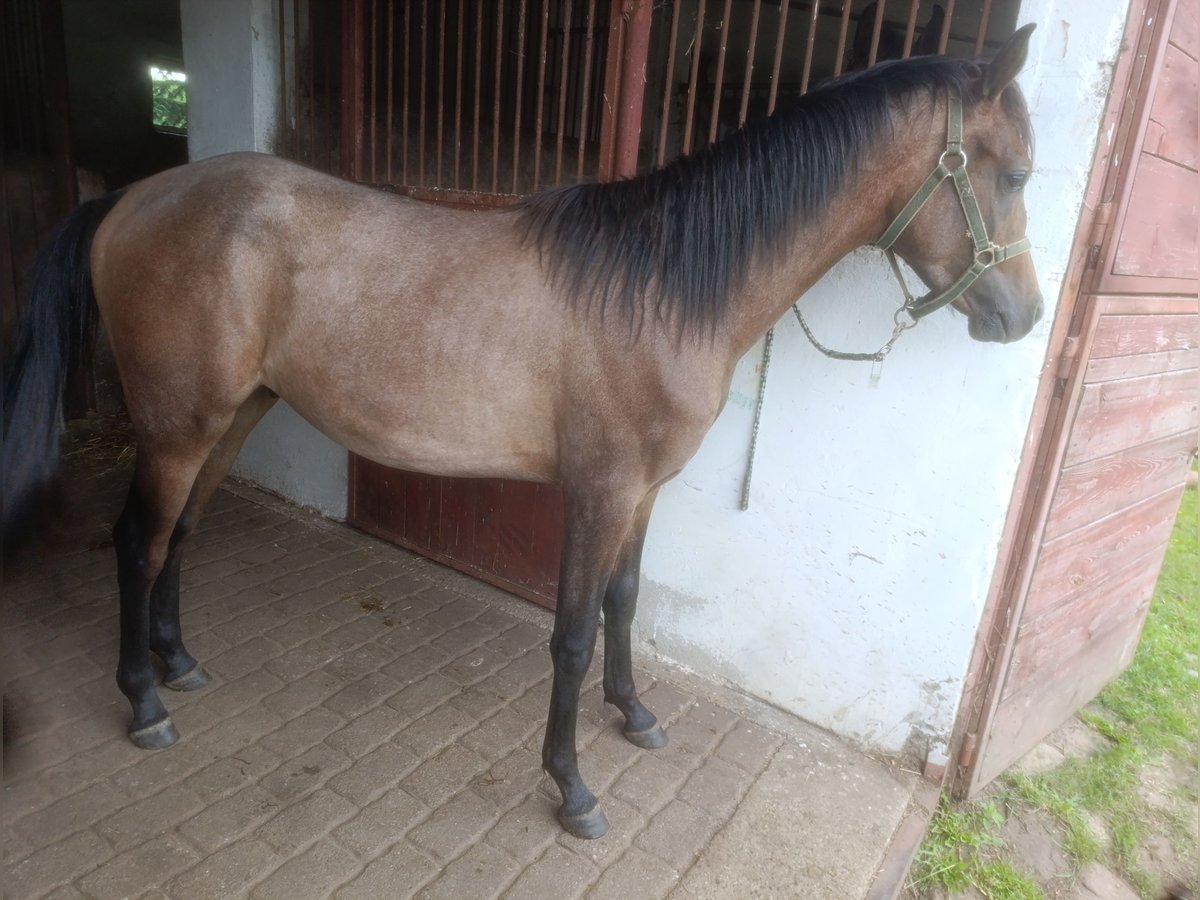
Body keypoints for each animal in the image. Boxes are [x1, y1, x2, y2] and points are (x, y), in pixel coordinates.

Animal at [2, 24, 1041, 840]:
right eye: (1017, 172)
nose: (1022, 316)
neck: (664, 285)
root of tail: (134, 197)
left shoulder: (644, 492)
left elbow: (625, 601)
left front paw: (636, 714)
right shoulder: (600, 492)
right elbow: (572, 635)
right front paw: (572, 787)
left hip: (232, 415)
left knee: (180, 533)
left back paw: (178, 664)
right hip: (177, 427)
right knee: (137, 541)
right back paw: (142, 700)